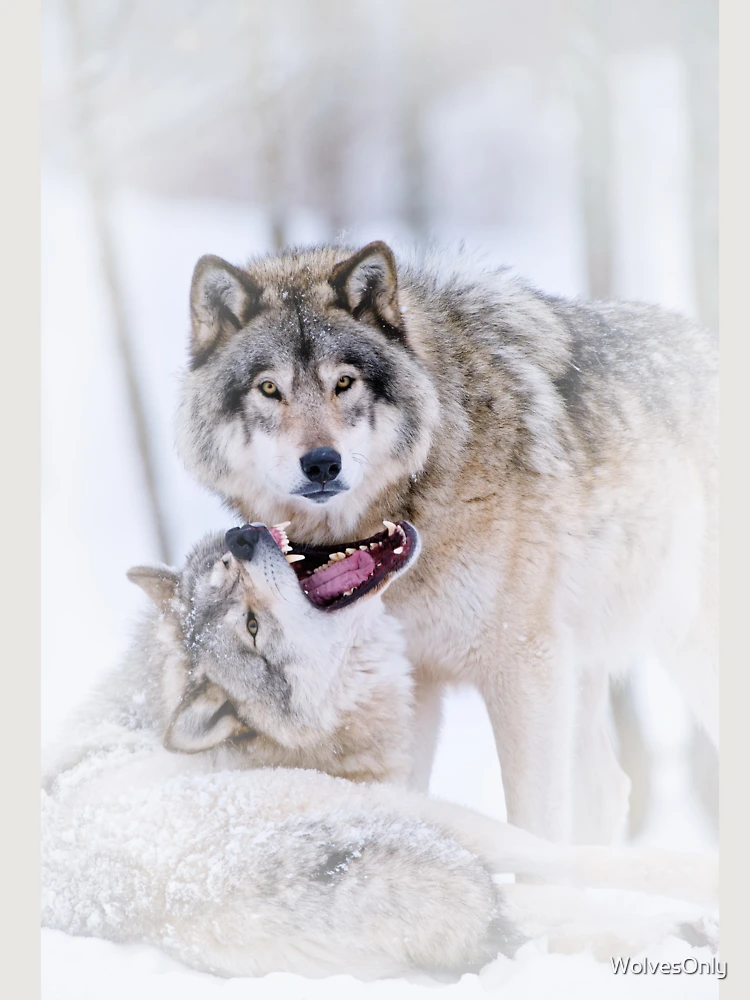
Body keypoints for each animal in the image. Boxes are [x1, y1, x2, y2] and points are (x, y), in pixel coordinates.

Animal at [43, 523, 717, 979]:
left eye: (226, 569)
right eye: (252, 630)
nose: (242, 535)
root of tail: (186, 890)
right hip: (420, 818)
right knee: (558, 875)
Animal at [175, 241, 718, 844]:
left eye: (344, 383)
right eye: (269, 388)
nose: (321, 463)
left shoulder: (524, 668)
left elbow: (533, 824)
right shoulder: (412, 686)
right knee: (606, 788)